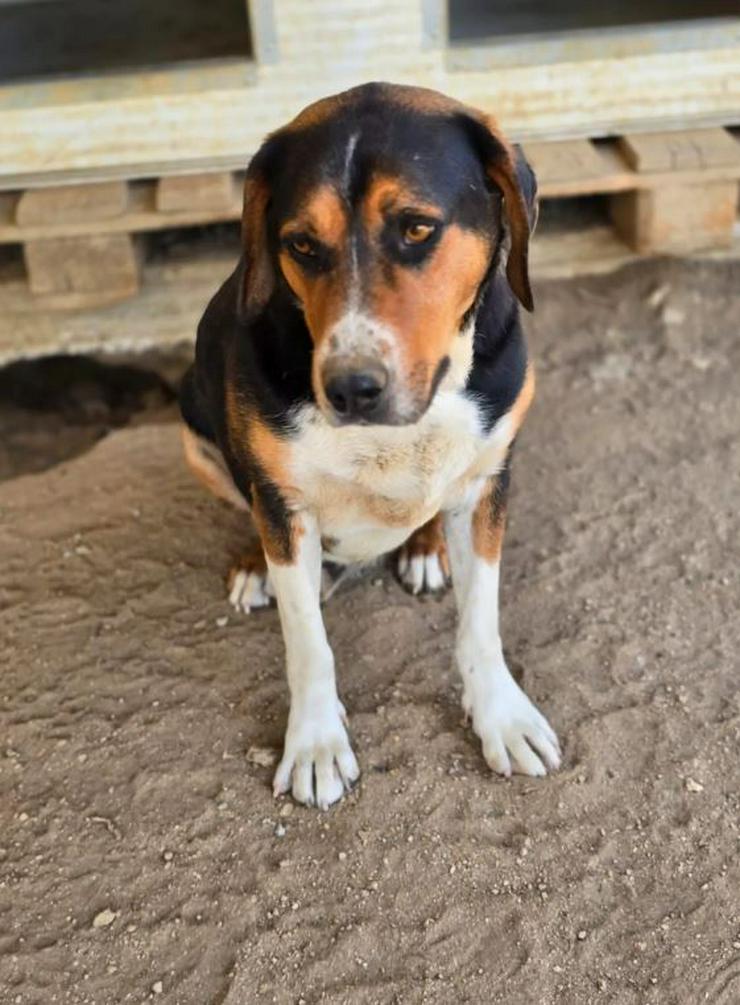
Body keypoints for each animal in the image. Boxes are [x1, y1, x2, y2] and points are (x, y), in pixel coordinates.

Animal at [180, 84, 559, 808]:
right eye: (301, 243)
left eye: (416, 228)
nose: (350, 388)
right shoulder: (286, 511)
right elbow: (308, 644)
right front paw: (315, 744)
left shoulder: (486, 483)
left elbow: (481, 625)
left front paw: (501, 715)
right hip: (192, 426)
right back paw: (252, 565)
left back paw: (425, 548)